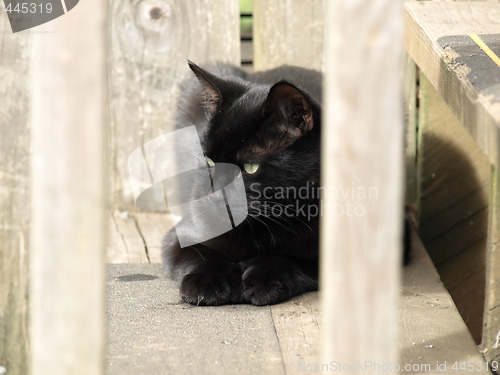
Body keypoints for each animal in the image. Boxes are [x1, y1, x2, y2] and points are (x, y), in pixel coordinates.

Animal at [162, 61, 322, 306]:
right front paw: (206, 282)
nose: (214, 194)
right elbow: (202, 255)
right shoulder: (178, 236)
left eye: (250, 167)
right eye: (209, 161)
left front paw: (263, 278)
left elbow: (287, 259)